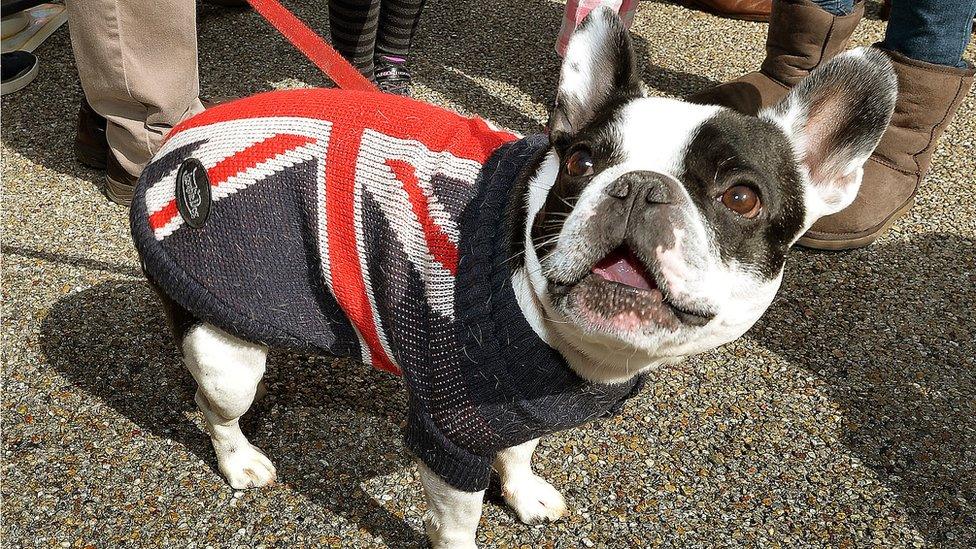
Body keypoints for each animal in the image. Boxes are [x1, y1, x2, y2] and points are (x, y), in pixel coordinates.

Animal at [133, 6, 896, 544]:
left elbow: (521, 451)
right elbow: (458, 521)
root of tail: (177, 147)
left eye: (741, 198)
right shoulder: (452, 437)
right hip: (222, 352)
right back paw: (240, 460)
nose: (639, 187)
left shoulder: (521, 404)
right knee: (214, 404)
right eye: (582, 161)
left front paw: (524, 492)